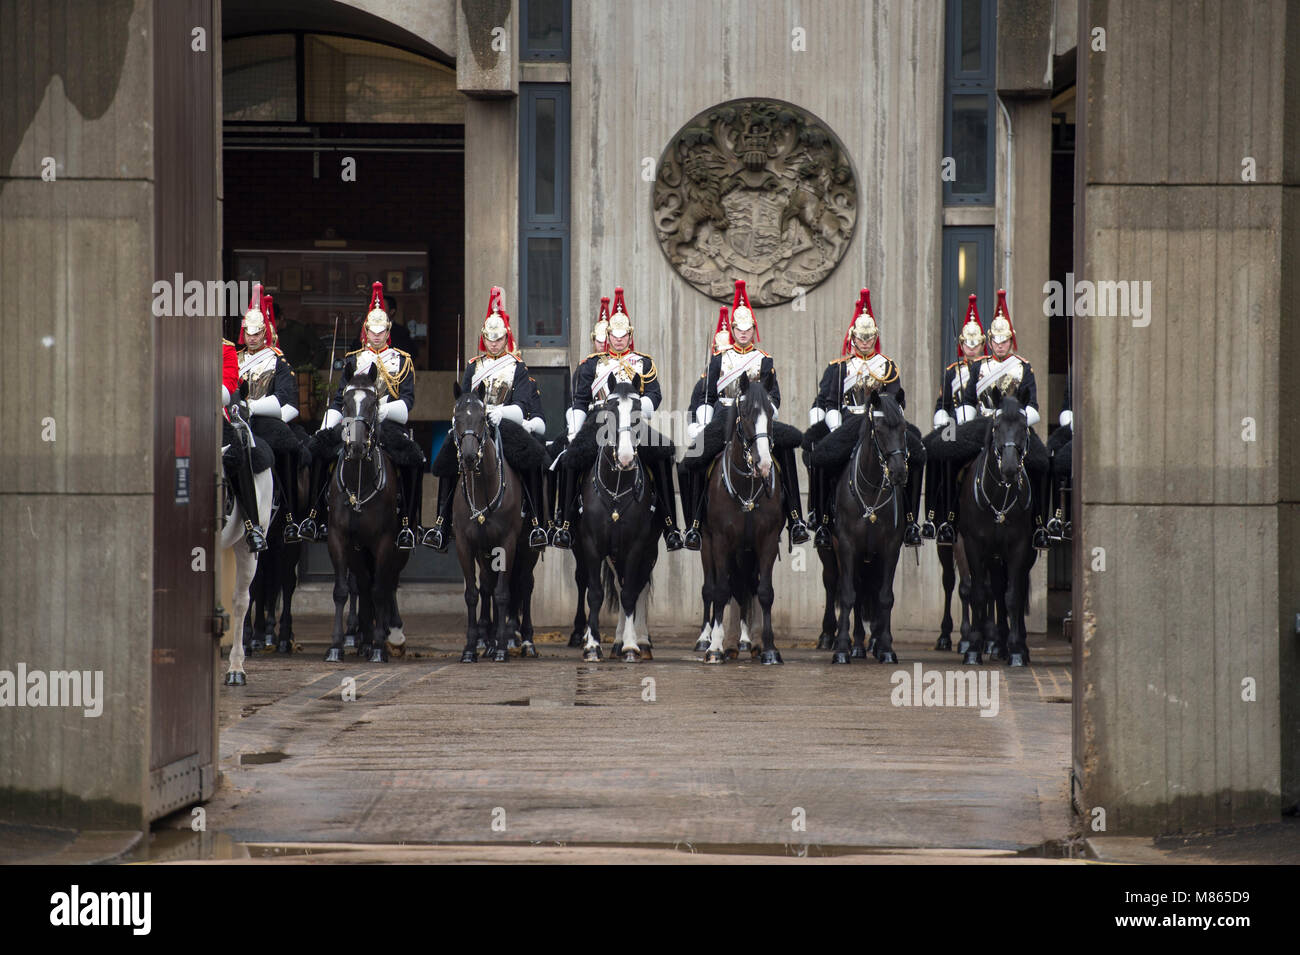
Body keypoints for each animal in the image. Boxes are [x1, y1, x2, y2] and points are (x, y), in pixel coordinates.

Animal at [321, 366, 397, 665]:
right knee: (362, 584)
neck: (359, 481)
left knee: (381, 585)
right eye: (345, 401)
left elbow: (379, 589)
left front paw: (378, 647)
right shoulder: (340, 539)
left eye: (373, 402)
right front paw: (336, 646)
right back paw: (362, 637)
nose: (354, 446)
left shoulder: (384, 541)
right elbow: (343, 590)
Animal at [577, 376, 660, 660]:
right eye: (610, 409)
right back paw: (615, 641)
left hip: (648, 550)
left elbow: (630, 594)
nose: (625, 458)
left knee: (637, 586)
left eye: (637, 410)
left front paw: (632, 645)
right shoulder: (591, 544)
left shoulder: (637, 545)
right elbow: (595, 594)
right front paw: (592, 645)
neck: (616, 488)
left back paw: (641, 641)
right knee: (618, 581)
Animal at [702, 371, 780, 665]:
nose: (763, 464)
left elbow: (765, 592)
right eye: (745, 413)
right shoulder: (720, 541)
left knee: (747, 586)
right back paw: (716, 641)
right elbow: (721, 591)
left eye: (771, 412)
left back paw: (747, 642)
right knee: (716, 588)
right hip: (708, 545)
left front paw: (770, 649)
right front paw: (715, 647)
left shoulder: (768, 541)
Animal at [821, 389, 915, 665]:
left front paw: (886, 647)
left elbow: (885, 596)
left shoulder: (891, 548)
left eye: (904, 427)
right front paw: (842, 648)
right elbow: (848, 594)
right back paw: (846, 641)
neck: (871, 489)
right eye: (880, 429)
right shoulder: (847, 546)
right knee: (843, 586)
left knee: (869, 590)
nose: (898, 473)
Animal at [961, 394, 1040, 665]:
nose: (1009, 468)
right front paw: (973, 649)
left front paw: (1016, 651)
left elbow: (1012, 596)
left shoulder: (1019, 546)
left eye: (1024, 427)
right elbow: (978, 594)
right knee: (993, 589)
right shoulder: (972, 545)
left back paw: (1012, 645)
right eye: (996, 426)